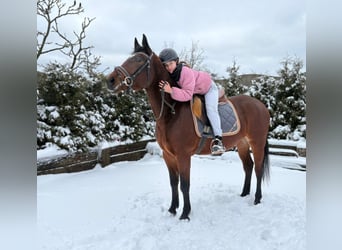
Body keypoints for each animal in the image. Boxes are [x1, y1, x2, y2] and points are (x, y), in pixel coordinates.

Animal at [107, 34, 270, 219]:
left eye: (138, 59)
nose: (110, 80)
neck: (172, 111)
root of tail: (261, 105)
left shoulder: (183, 155)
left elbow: (184, 185)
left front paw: (185, 214)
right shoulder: (168, 155)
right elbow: (173, 182)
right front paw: (172, 209)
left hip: (256, 143)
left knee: (258, 169)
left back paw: (257, 199)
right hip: (242, 143)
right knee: (248, 167)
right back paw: (244, 194)